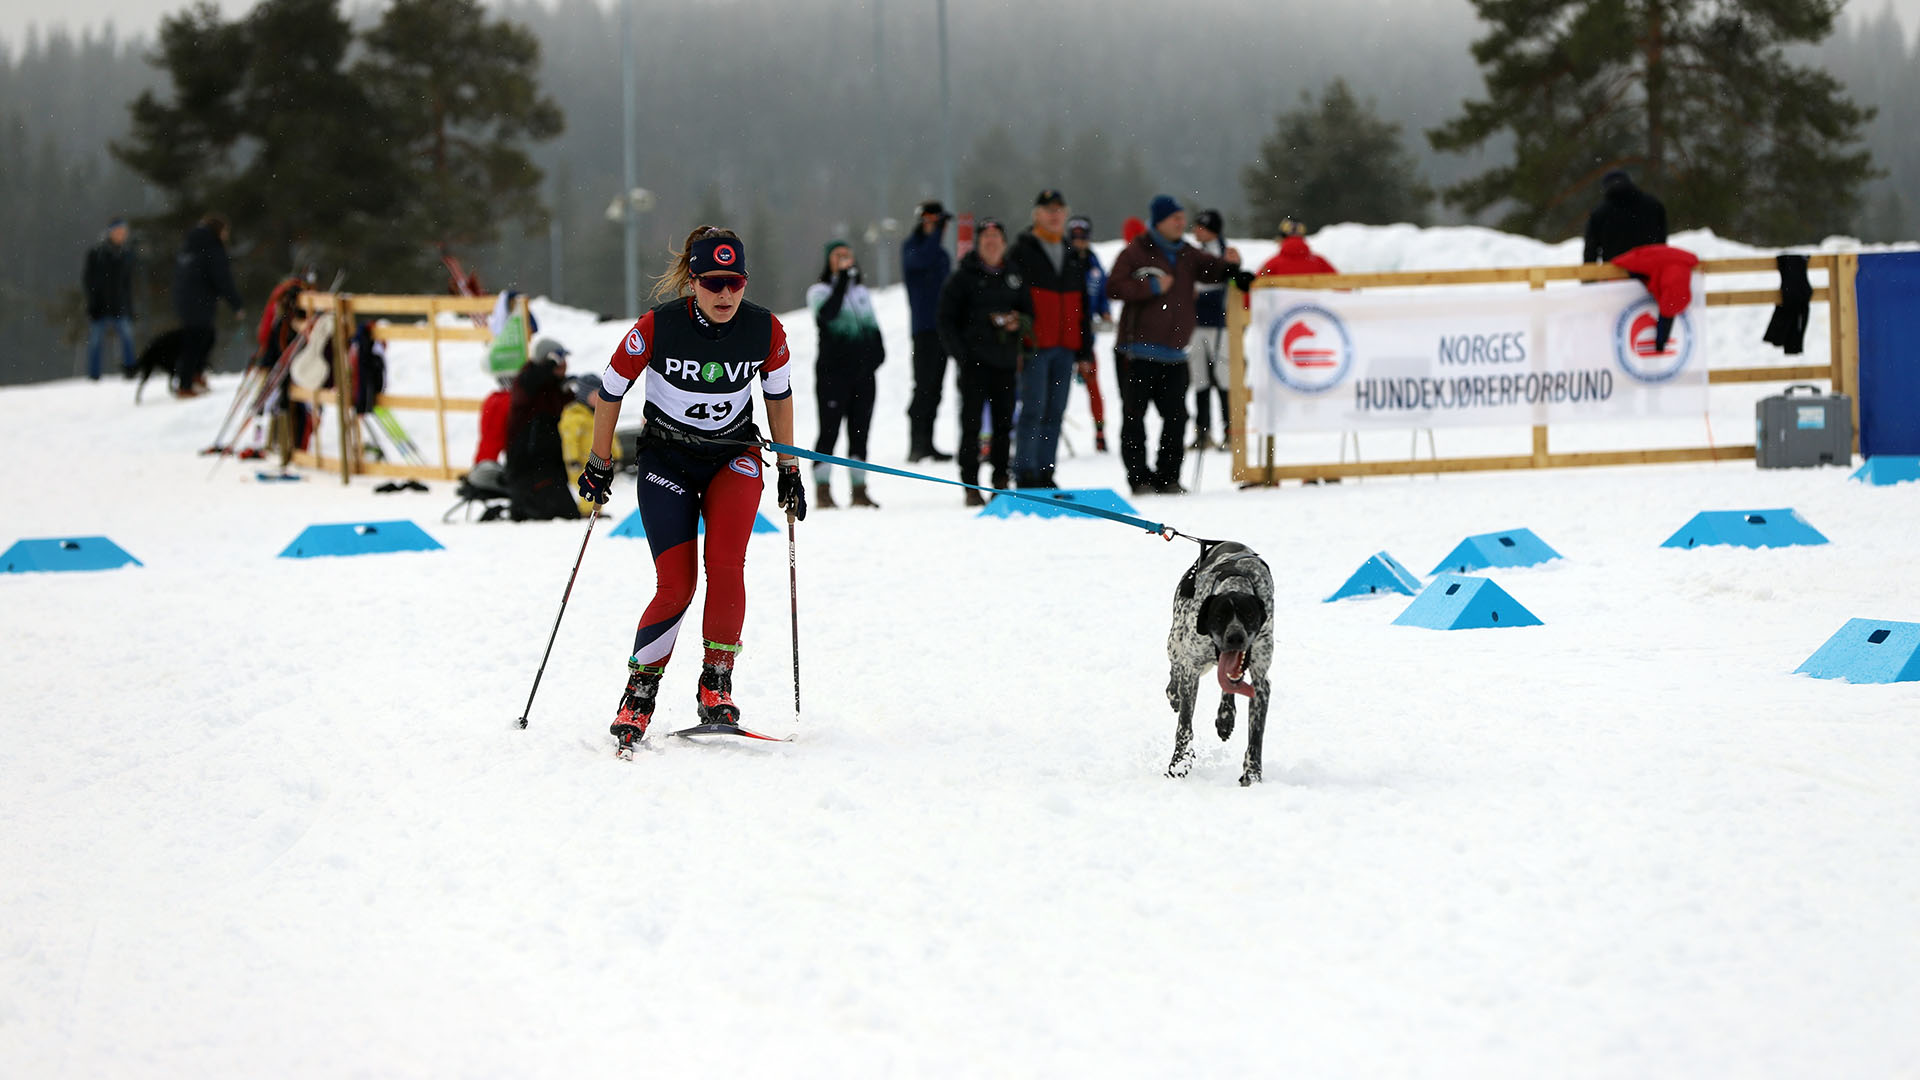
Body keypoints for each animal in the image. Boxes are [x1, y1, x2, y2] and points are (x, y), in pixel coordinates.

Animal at [1159, 538, 1282, 780]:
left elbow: (1256, 735)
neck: (1236, 585)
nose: (1236, 638)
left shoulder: (1261, 681)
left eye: (1250, 616)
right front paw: (1179, 763)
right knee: (1174, 672)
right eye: (1218, 616)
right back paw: (1174, 694)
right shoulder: (1191, 670)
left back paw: (1226, 716)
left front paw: (1252, 774)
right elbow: (1184, 726)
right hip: (1175, 640)